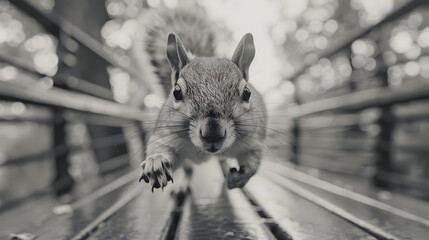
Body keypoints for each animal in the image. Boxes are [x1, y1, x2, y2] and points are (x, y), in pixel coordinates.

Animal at [135, 7, 266, 192]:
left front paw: (241, 176)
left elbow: (253, 160)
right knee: (187, 170)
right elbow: (161, 148)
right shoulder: (166, 135)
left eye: (247, 93)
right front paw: (156, 162)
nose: (213, 134)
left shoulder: (254, 139)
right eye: (176, 92)